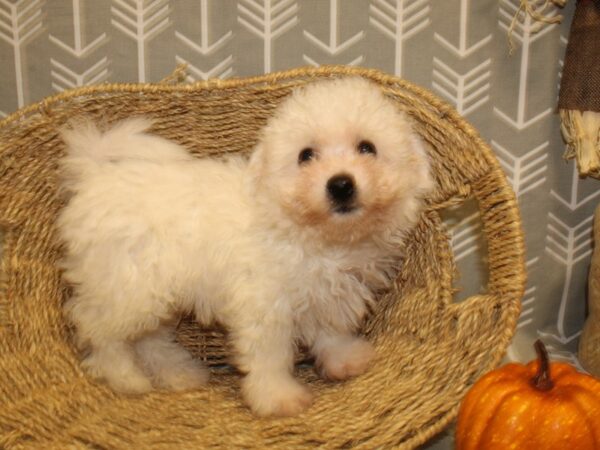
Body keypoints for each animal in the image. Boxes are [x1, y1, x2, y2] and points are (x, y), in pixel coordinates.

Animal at [57, 77, 432, 418]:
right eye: (305, 156)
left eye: (367, 147)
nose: (340, 184)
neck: (317, 237)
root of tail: (94, 175)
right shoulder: (264, 306)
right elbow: (269, 356)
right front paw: (277, 397)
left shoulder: (326, 294)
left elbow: (331, 328)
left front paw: (345, 358)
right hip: (127, 285)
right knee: (98, 329)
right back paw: (124, 377)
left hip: (156, 292)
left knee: (149, 338)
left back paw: (178, 373)